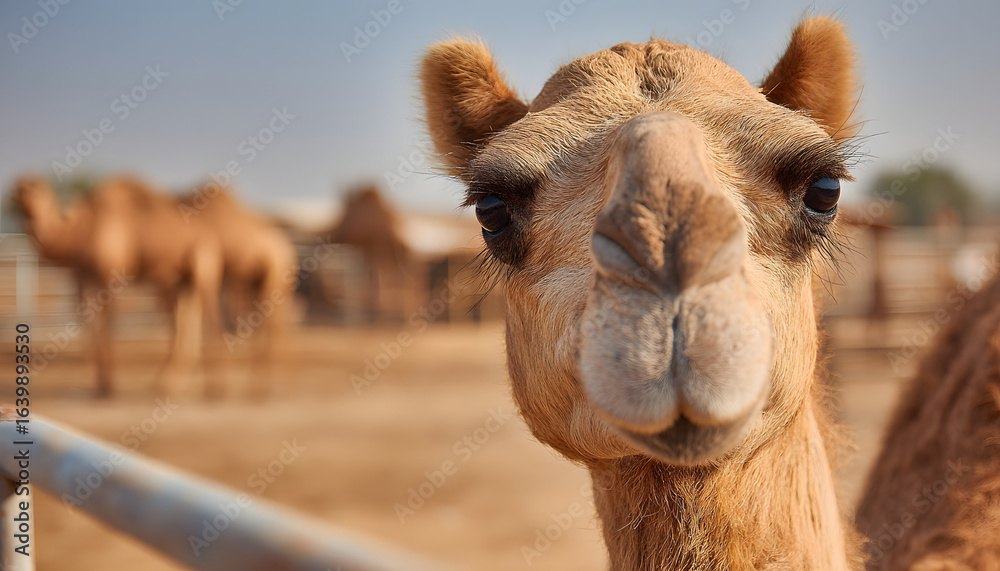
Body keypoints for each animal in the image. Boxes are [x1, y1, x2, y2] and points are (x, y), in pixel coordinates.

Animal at [11, 175, 223, 397]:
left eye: (35, 188)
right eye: (19, 188)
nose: (18, 195)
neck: (80, 232)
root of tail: (210, 237)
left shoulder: (110, 276)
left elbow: (107, 324)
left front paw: (110, 386)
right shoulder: (86, 277)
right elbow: (93, 322)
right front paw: (102, 385)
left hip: (203, 263)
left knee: (209, 314)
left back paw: (215, 389)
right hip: (179, 280)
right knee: (186, 315)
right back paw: (169, 381)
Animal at [178, 182, 298, 396]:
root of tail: (288, 251)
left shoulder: (207, 266)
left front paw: (215, 387)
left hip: (274, 278)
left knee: (273, 324)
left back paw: (263, 385)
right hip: (265, 282)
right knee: (276, 323)